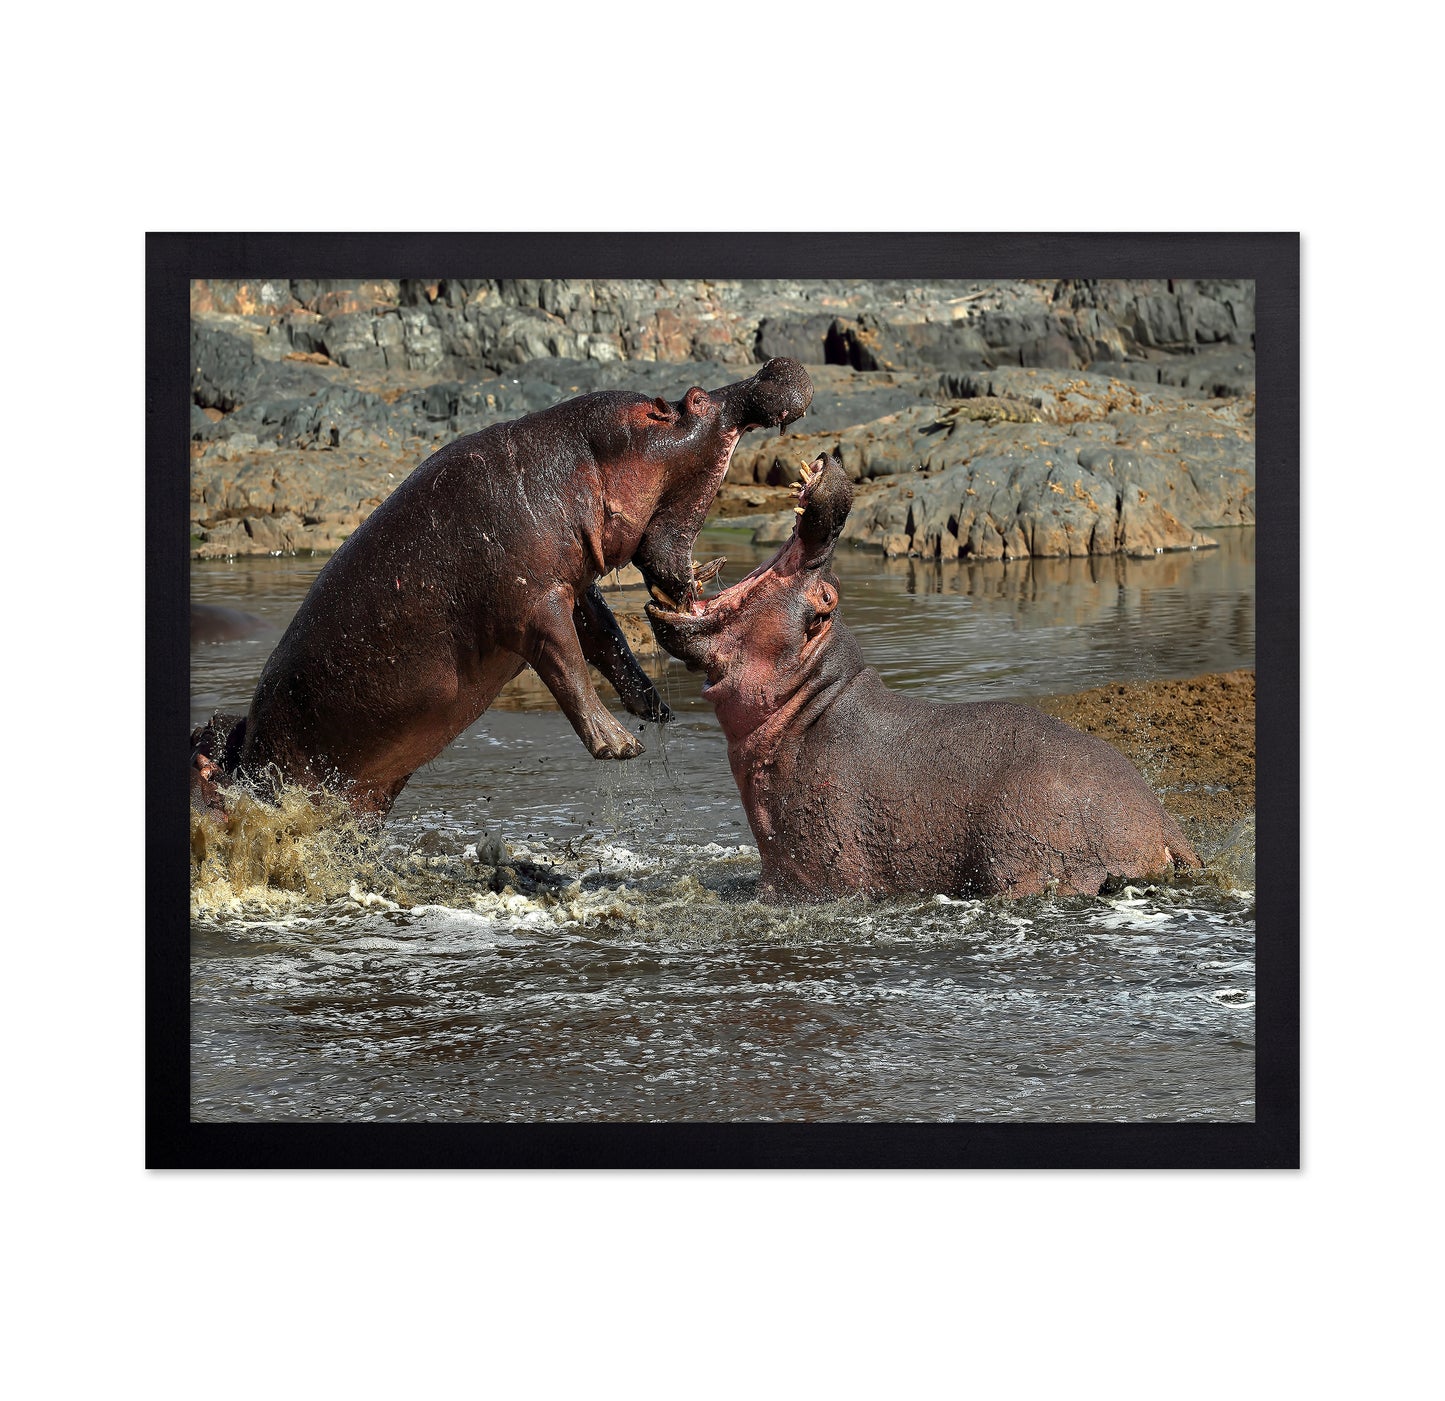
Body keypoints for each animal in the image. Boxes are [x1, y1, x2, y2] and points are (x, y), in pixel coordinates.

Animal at [193, 358, 814, 816]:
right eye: (694, 400)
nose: (773, 366)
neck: (579, 463)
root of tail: (242, 756)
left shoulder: (573, 586)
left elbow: (608, 639)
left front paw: (654, 708)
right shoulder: (534, 604)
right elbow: (567, 665)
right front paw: (621, 745)